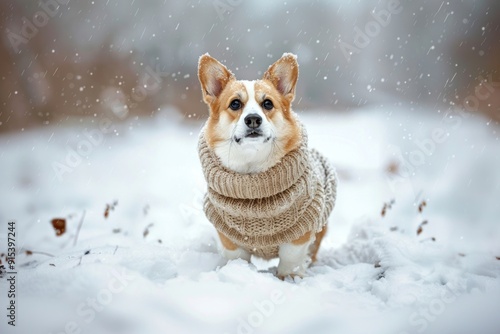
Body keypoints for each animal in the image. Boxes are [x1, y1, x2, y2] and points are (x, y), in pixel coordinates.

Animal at [196, 53, 336, 278]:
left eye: (268, 104)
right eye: (235, 104)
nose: (253, 119)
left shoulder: (301, 231)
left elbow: (291, 257)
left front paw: (289, 278)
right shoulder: (229, 237)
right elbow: (237, 257)